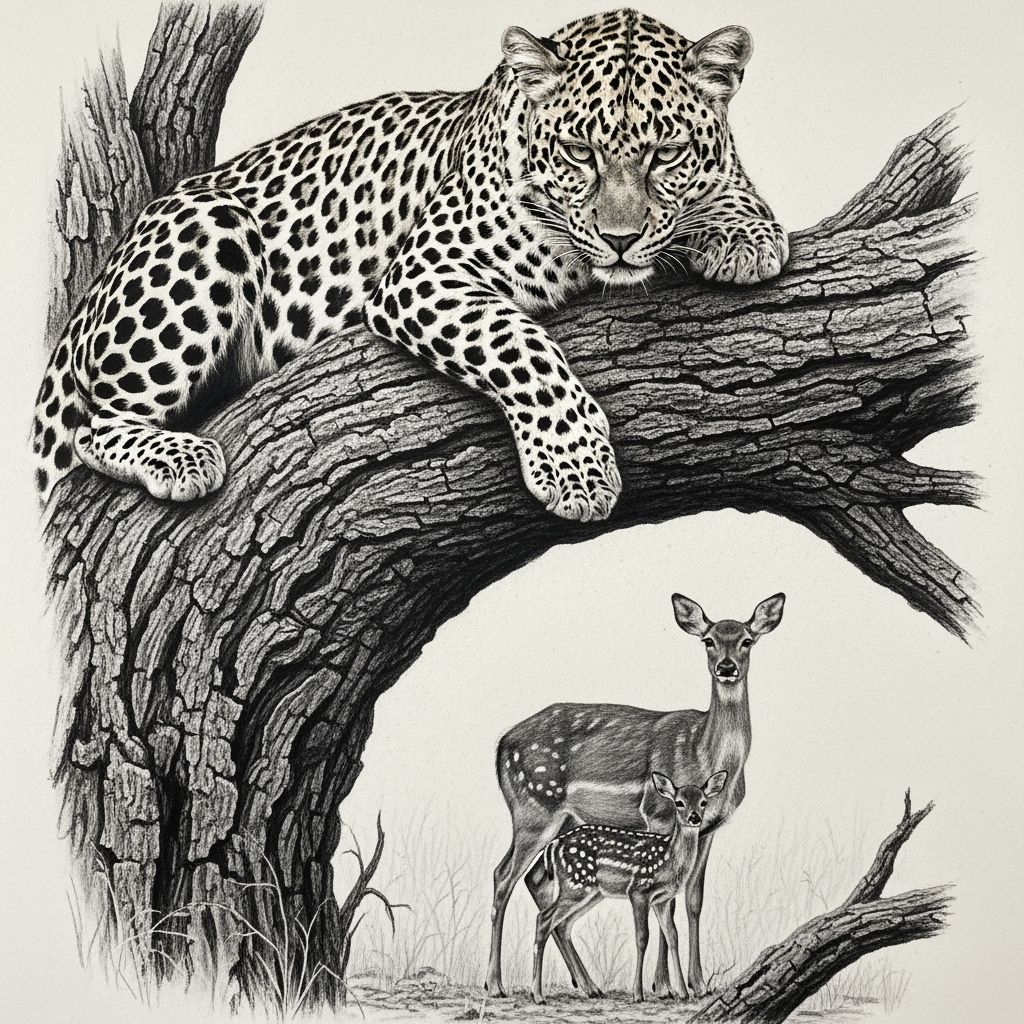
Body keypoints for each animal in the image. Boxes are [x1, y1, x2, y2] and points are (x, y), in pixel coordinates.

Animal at [32, 8, 788, 522]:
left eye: (666, 153)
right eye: (579, 152)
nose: (622, 238)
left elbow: (734, 187)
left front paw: (744, 233)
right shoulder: (424, 273)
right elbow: (522, 348)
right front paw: (575, 469)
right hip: (208, 229)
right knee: (94, 424)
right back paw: (180, 456)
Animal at [530, 770, 728, 1005]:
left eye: (703, 802)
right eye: (679, 802)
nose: (694, 817)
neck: (668, 859)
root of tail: (553, 845)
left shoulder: (662, 899)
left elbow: (672, 936)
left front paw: (683, 992)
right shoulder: (639, 891)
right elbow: (642, 937)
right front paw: (638, 994)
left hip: (591, 892)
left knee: (562, 924)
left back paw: (591, 990)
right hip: (575, 884)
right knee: (544, 918)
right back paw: (538, 995)